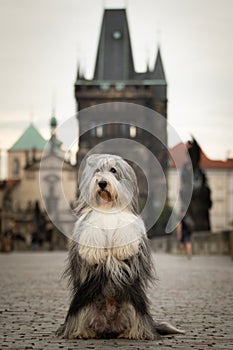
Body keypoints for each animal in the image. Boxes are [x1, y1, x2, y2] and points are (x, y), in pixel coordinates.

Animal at [56, 154, 184, 340]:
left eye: (113, 170)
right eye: (97, 171)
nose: (102, 183)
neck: (108, 207)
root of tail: (108, 327)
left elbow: (126, 228)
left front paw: (124, 249)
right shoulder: (89, 221)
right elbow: (91, 230)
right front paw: (92, 252)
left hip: (136, 307)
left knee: (138, 323)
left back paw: (134, 333)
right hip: (81, 304)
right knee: (78, 321)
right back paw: (83, 332)